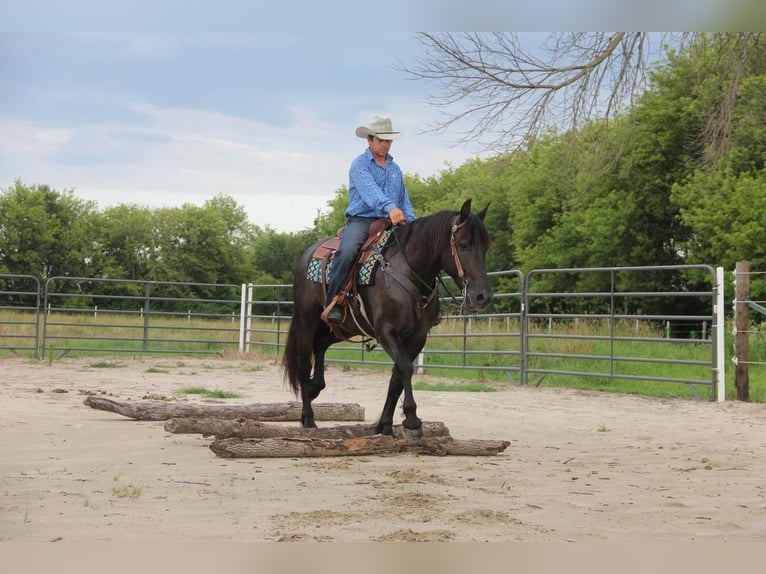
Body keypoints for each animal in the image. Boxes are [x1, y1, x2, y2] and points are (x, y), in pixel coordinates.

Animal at [282, 200, 492, 438]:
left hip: (344, 327)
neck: (408, 272)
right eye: (464, 245)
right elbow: (405, 368)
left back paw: (314, 387)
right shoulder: (386, 331)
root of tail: (308, 254)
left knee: (320, 344)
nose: (483, 296)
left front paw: (385, 426)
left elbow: (396, 378)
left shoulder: (417, 337)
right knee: (303, 365)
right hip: (306, 321)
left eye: (485, 247)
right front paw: (412, 420)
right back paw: (309, 419)